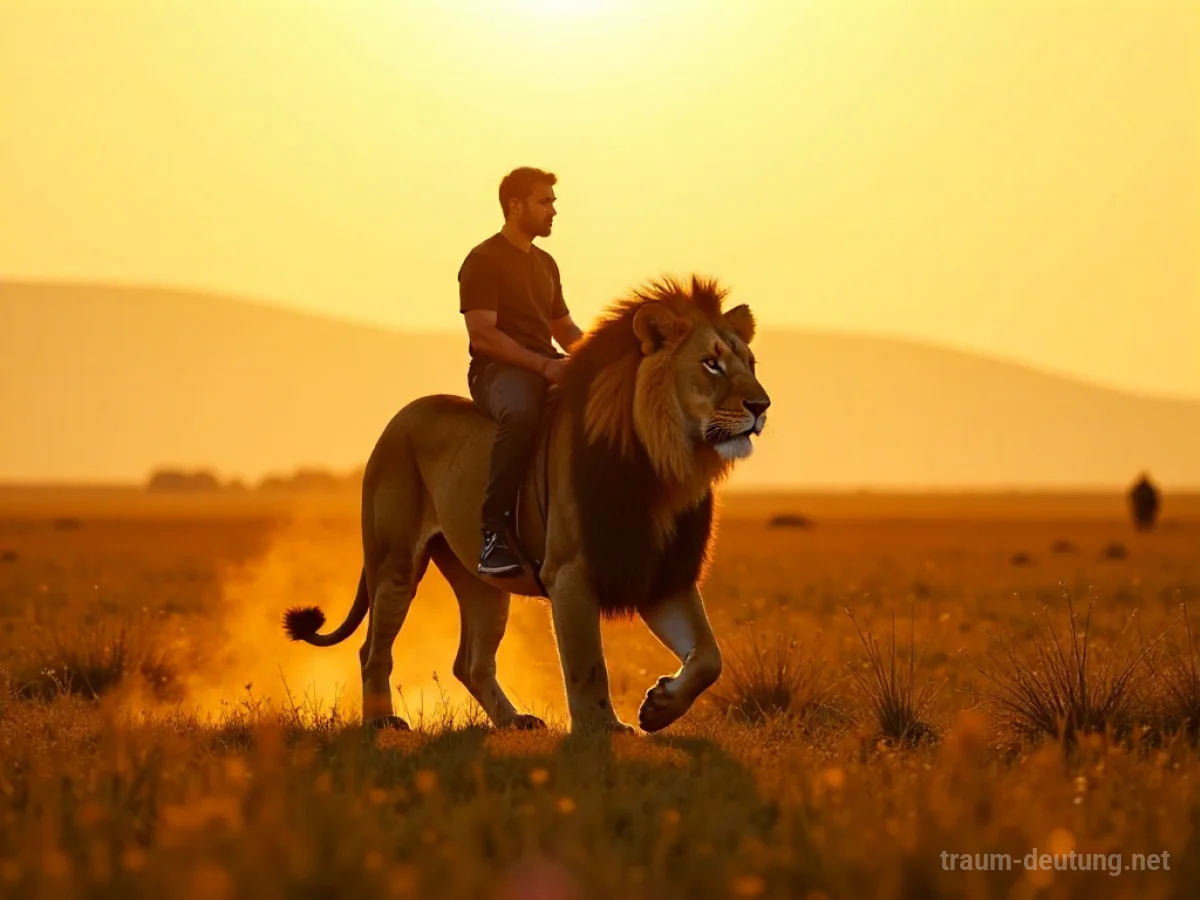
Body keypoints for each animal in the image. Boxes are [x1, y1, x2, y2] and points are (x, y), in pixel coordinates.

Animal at [282, 275, 771, 734]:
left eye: (750, 363)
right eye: (710, 363)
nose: (762, 405)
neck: (665, 470)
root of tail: (398, 417)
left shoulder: (659, 573)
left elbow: (709, 656)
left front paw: (658, 708)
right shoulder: (570, 573)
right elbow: (587, 664)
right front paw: (603, 730)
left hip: (483, 583)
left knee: (471, 662)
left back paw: (514, 721)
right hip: (394, 562)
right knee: (372, 649)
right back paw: (382, 721)